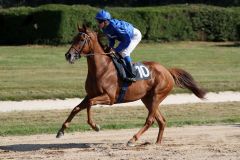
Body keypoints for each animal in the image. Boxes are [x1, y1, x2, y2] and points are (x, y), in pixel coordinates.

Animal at [56, 25, 206, 146]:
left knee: (150, 120)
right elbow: (76, 108)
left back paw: (132, 139)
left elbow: (90, 104)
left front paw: (95, 126)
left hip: (157, 95)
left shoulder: (109, 98)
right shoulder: (90, 94)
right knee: (161, 120)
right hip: (148, 99)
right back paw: (157, 142)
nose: (68, 55)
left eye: (81, 40)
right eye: (74, 38)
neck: (102, 68)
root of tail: (167, 71)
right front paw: (61, 131)